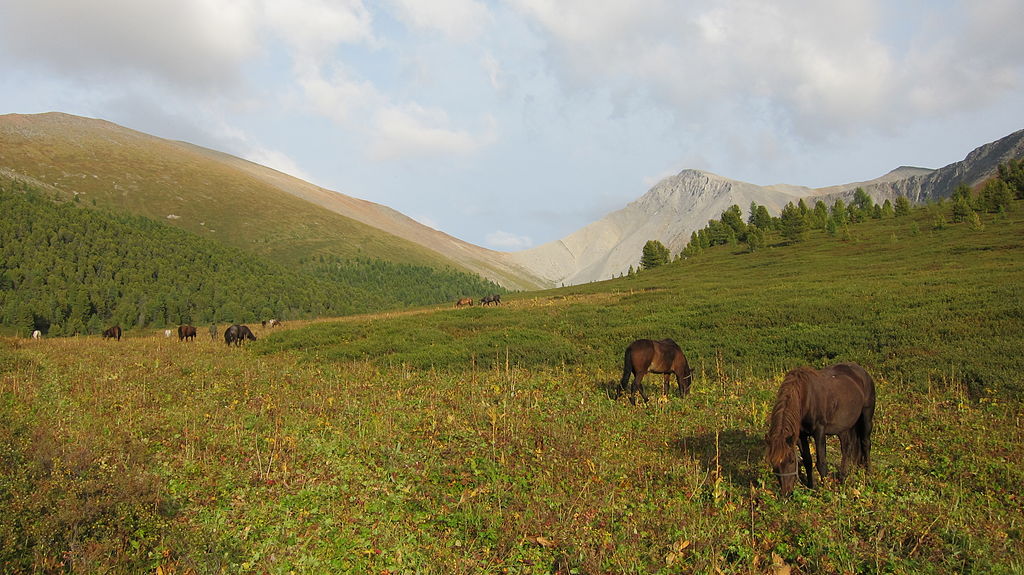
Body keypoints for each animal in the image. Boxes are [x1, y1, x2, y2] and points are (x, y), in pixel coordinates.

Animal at [765, 362, 876, 493]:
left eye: (792, 460)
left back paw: (868, 474)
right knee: (847, 448)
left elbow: (821, 462)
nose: (786, 492)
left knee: (865, 443)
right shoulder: (801, 435)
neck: (806, 397)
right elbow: (807, 460)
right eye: (774, 463)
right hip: (844, 427)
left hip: (866, 417)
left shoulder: (819, 431)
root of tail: (863, 373)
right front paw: (811, 486)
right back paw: (843, 477)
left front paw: (825, 489)